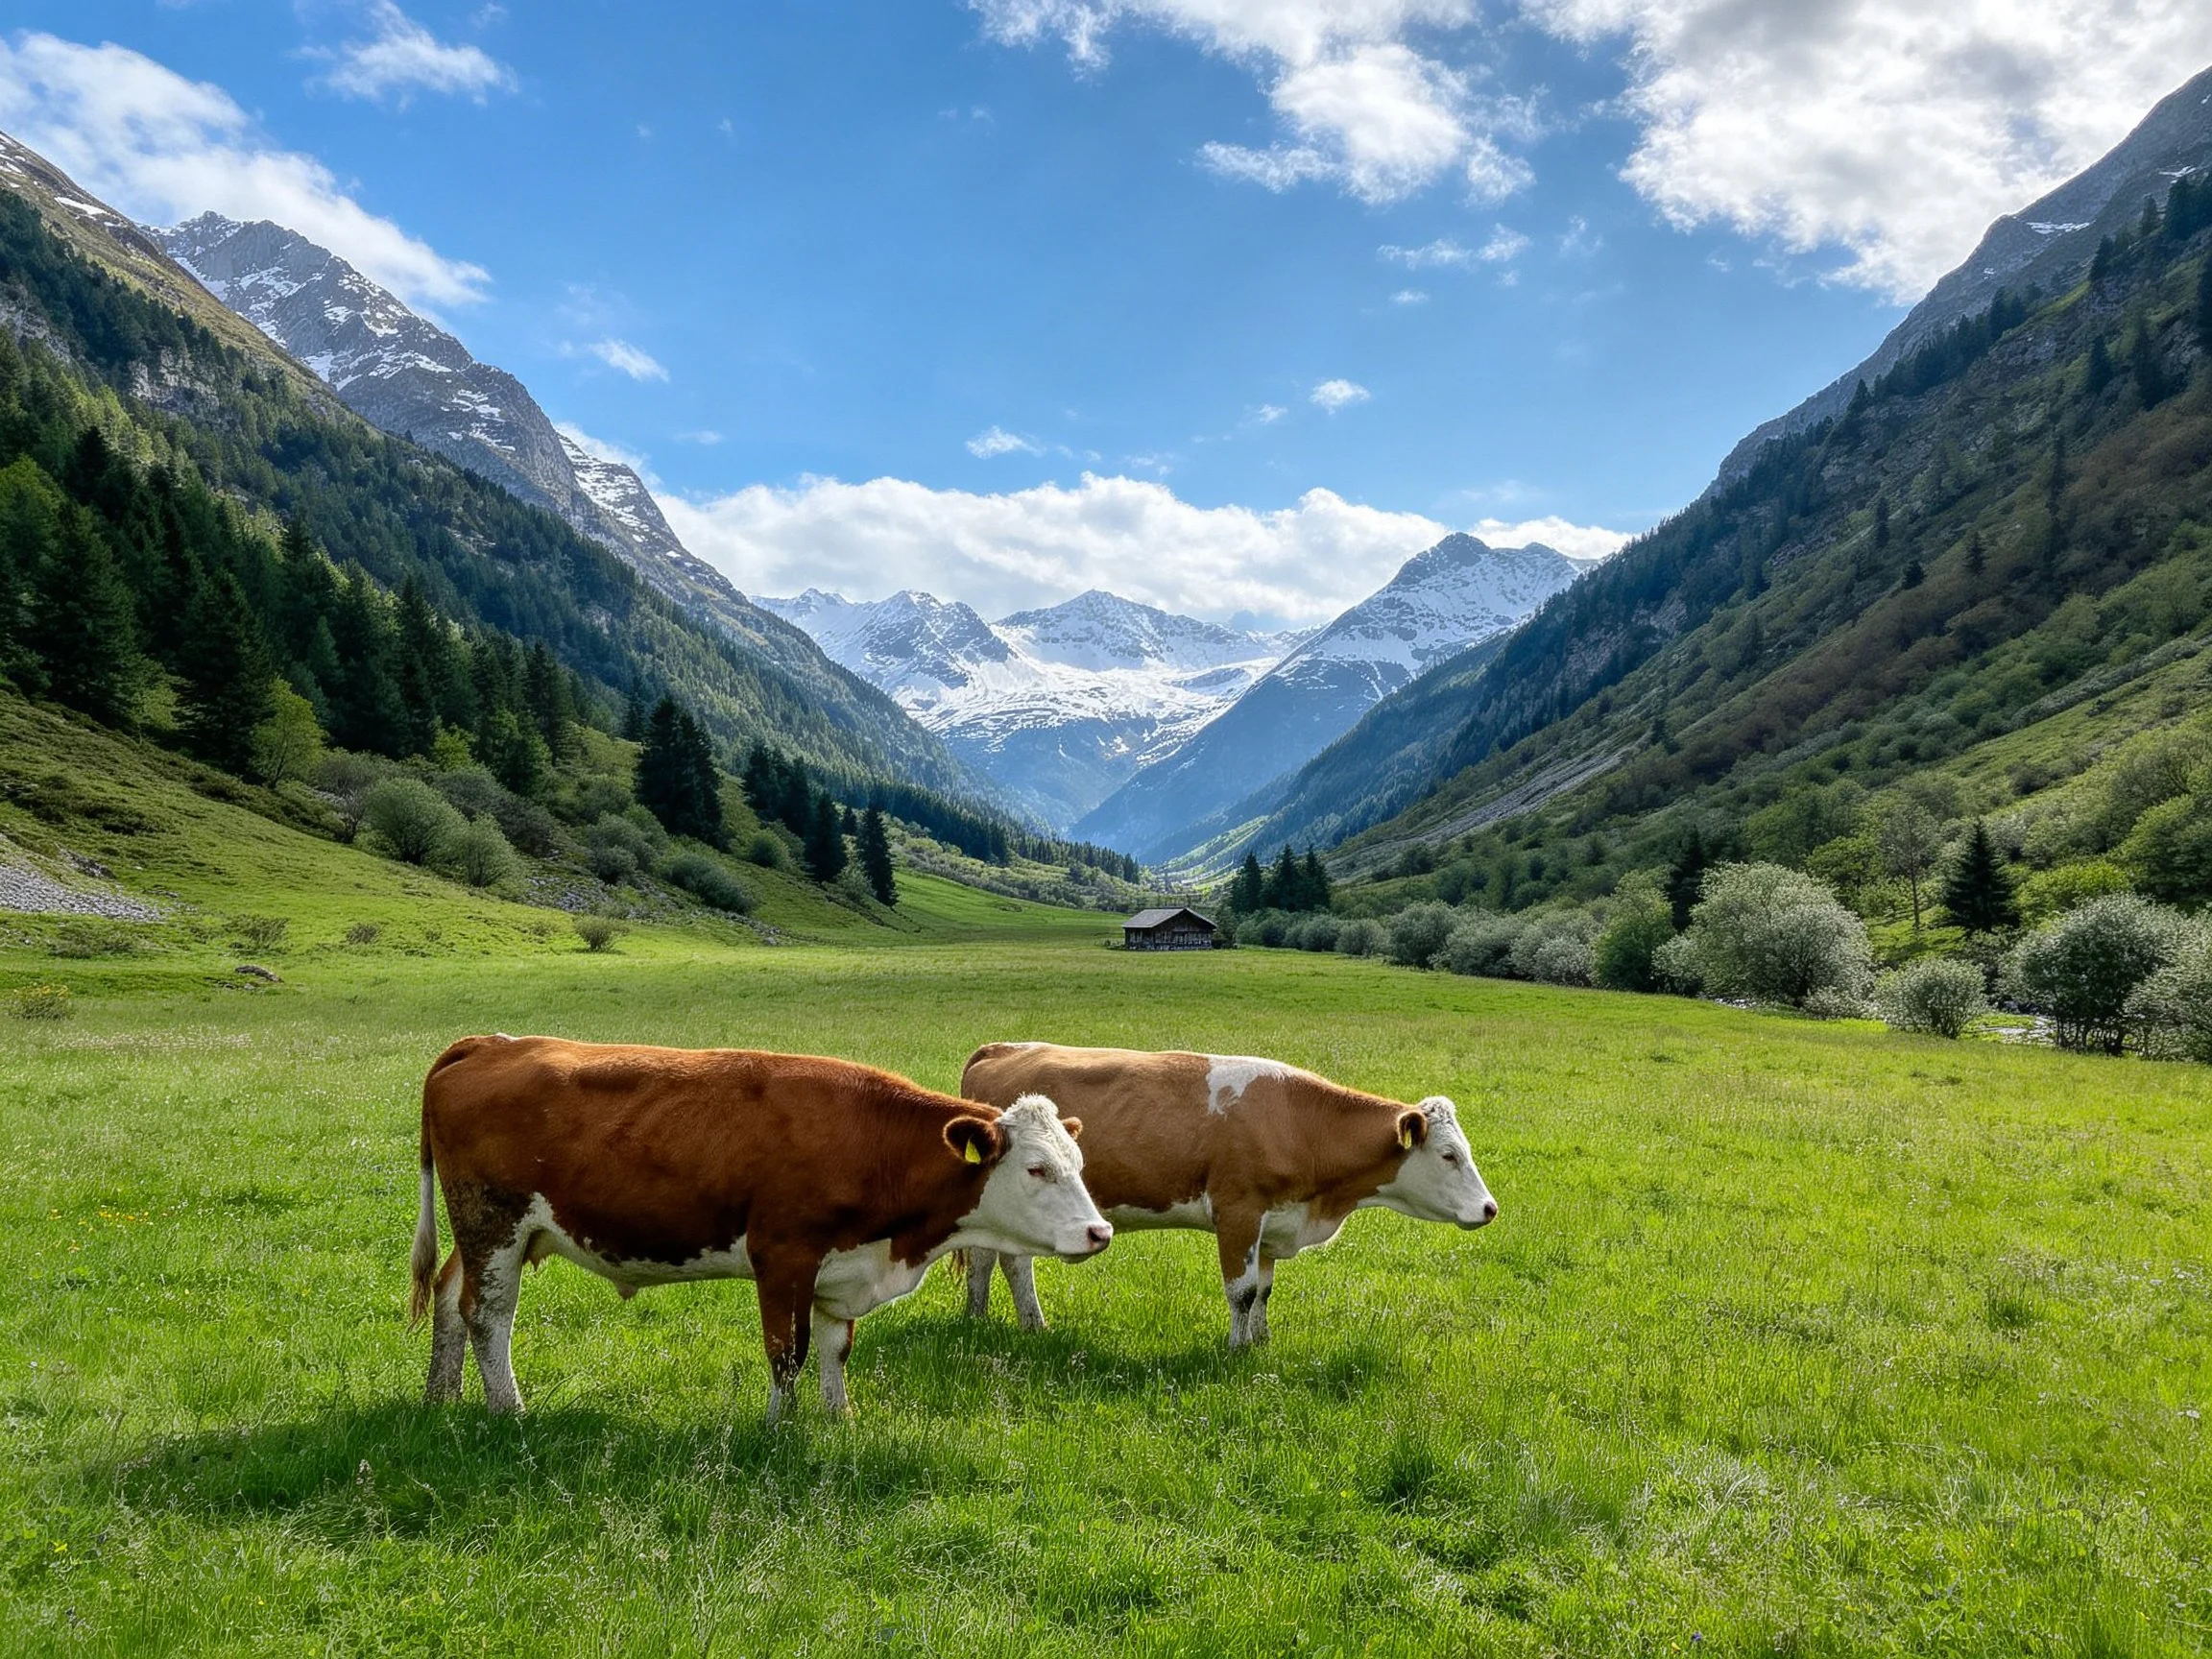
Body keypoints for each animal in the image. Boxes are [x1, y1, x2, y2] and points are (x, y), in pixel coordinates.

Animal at [409, 1035, 1111, 1422]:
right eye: (1037, 1168)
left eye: (1079, 1164)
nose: (1099, 1233)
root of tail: (491, 1043)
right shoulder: (784, 1258)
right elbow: (786, 1352)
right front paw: (780, 1429)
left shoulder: (840, 1269)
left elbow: (833, 1348)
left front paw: (840, 1416)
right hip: (494, 1223)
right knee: (487, 1315)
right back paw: (509, 1410)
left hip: (488, 1233)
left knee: (449, 1295)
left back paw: (442, 1397)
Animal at [958, 1043, 1495, 1346]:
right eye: (1449, 1155)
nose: (1490, 1208)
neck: (1297, 1122)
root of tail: (999, 1047)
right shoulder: (1239, 1213)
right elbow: (1243, 1291)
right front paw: (1237, 1350)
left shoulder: (1273, 1223)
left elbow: (1266, 1290)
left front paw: (1261, 1341)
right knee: (1010, 1262)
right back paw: (1018, 1323)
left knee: (989, 1257)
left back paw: (989, 1318)